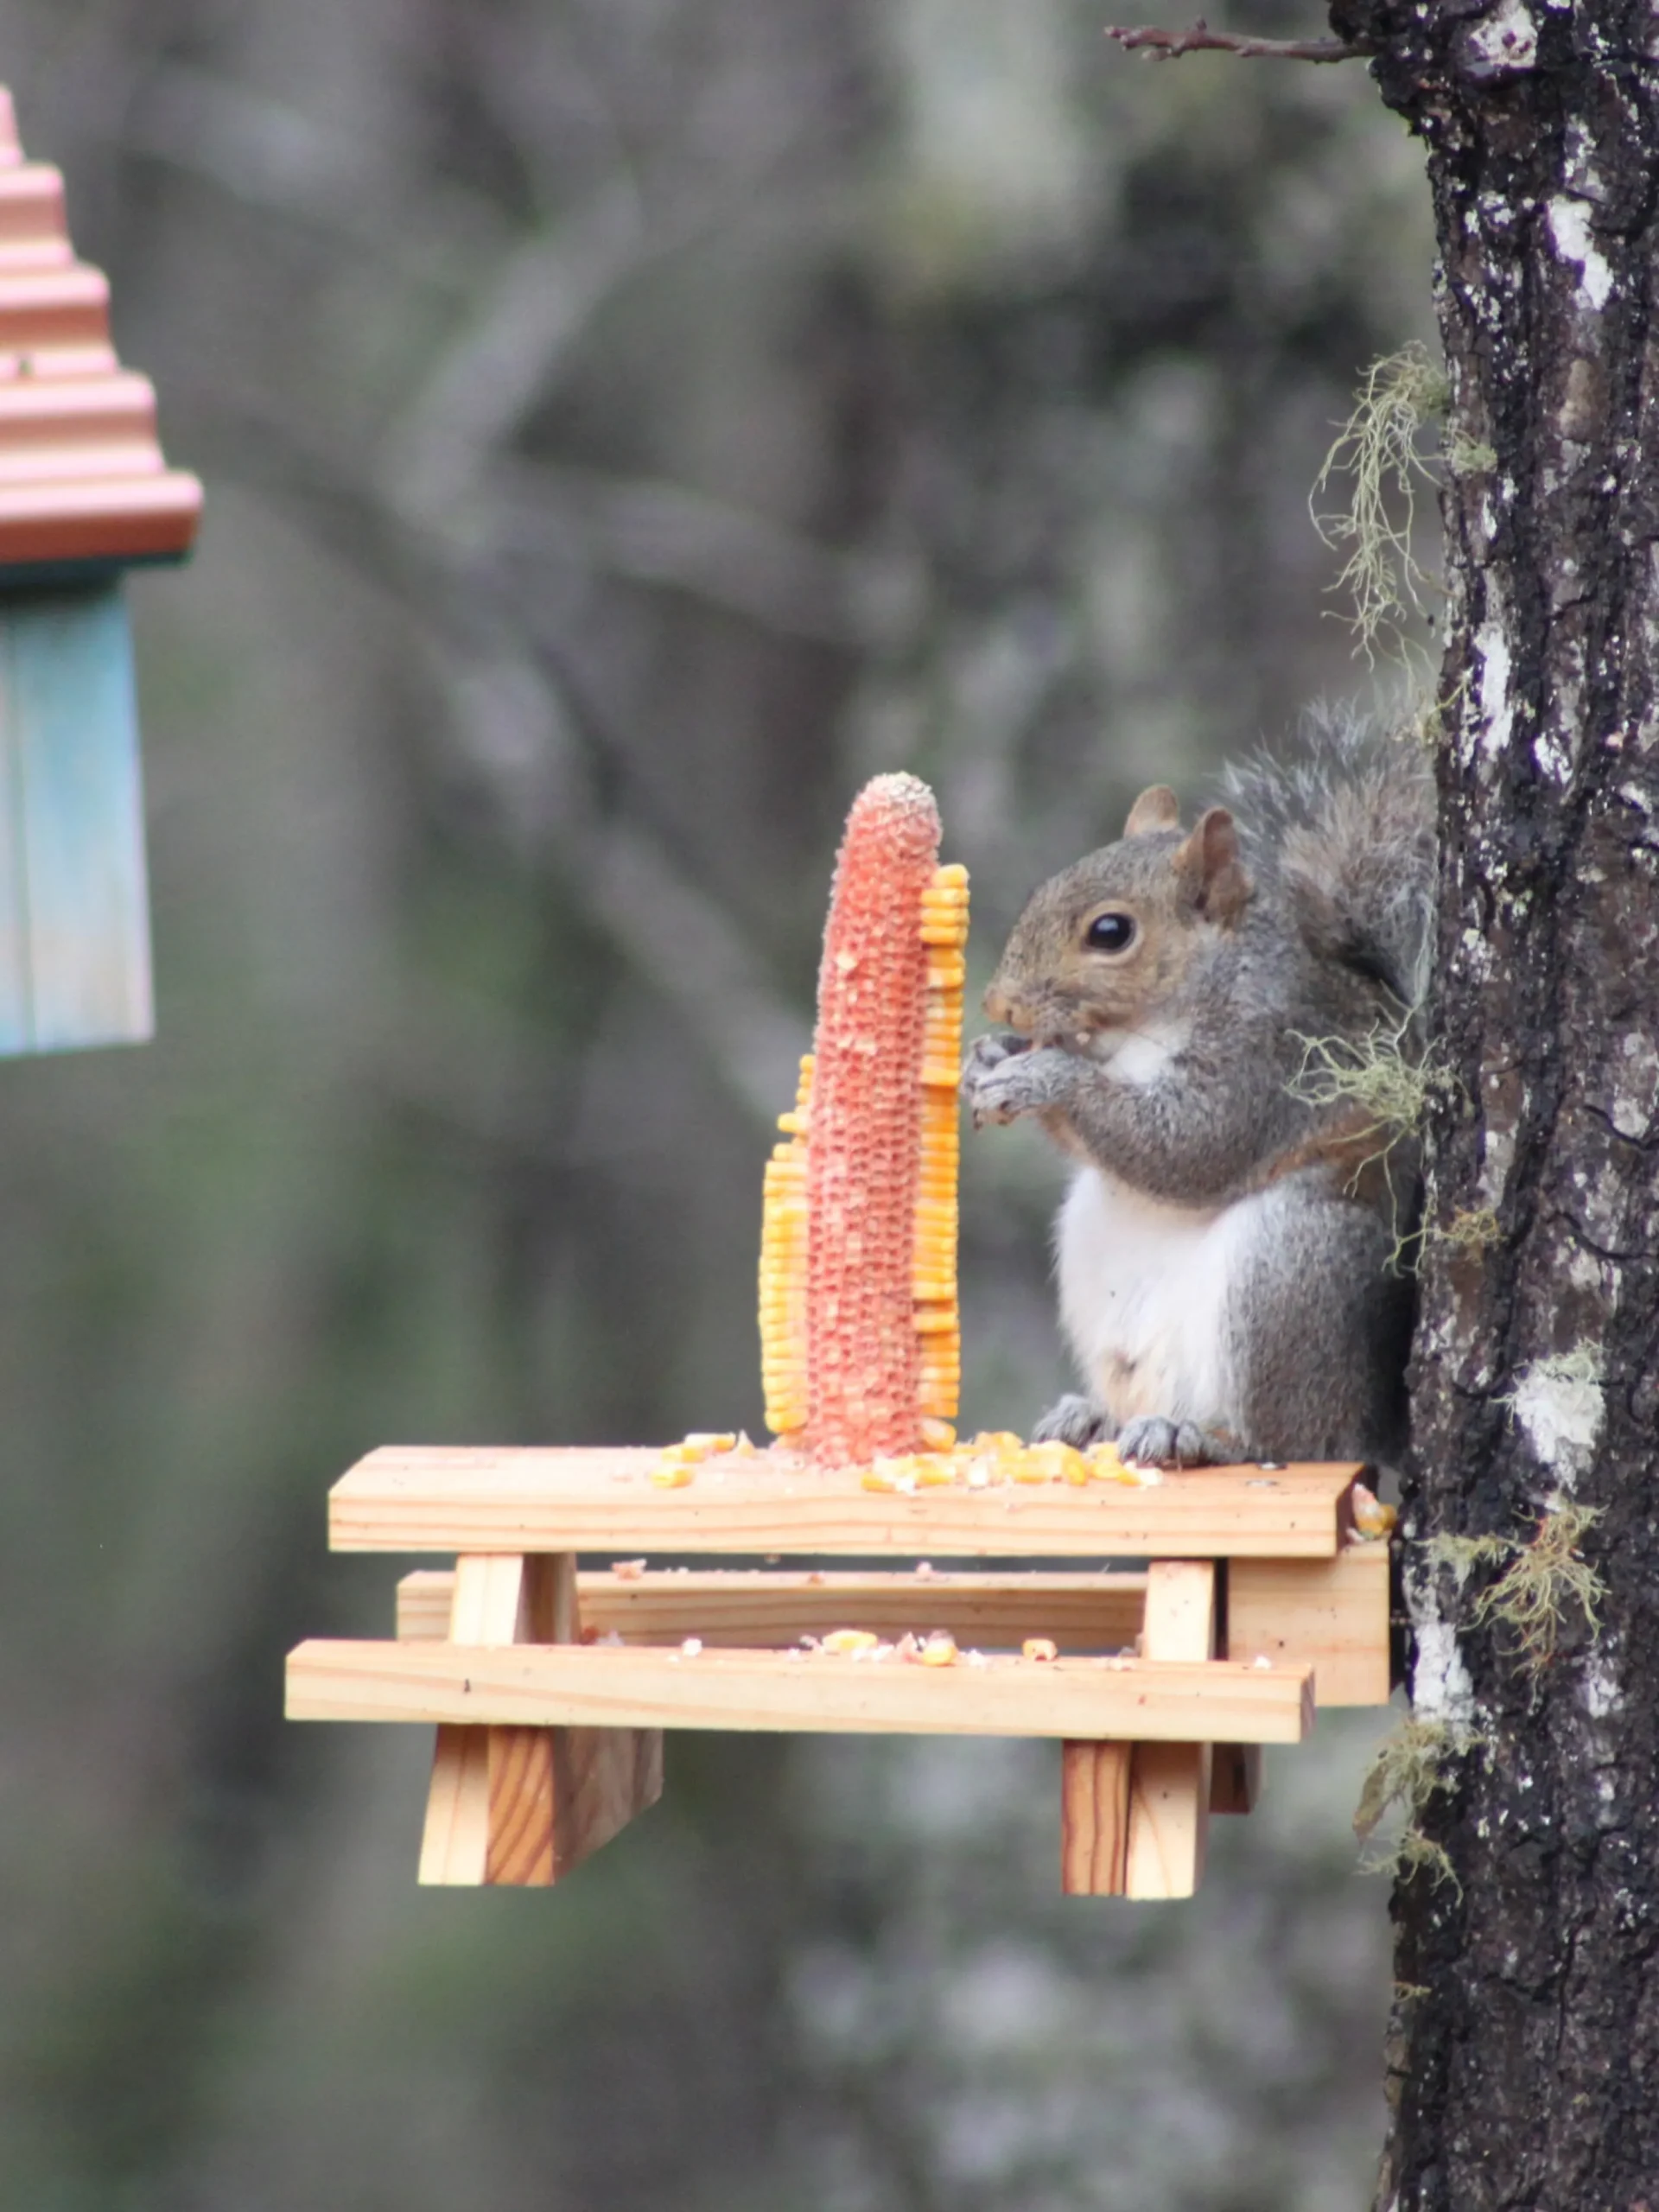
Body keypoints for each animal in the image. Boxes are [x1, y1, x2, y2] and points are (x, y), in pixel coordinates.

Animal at [959, 716, 1436, 1469]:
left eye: (1111, 932)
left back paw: (1206, 1439)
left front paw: (1043, 1077)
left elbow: (1188, 1146)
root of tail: (1376, 1430)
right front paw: (988, 1059)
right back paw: (1094, 1418)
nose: (999, 1006)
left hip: (1292, 1269)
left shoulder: (1269, 1060)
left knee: (1293, 1438)